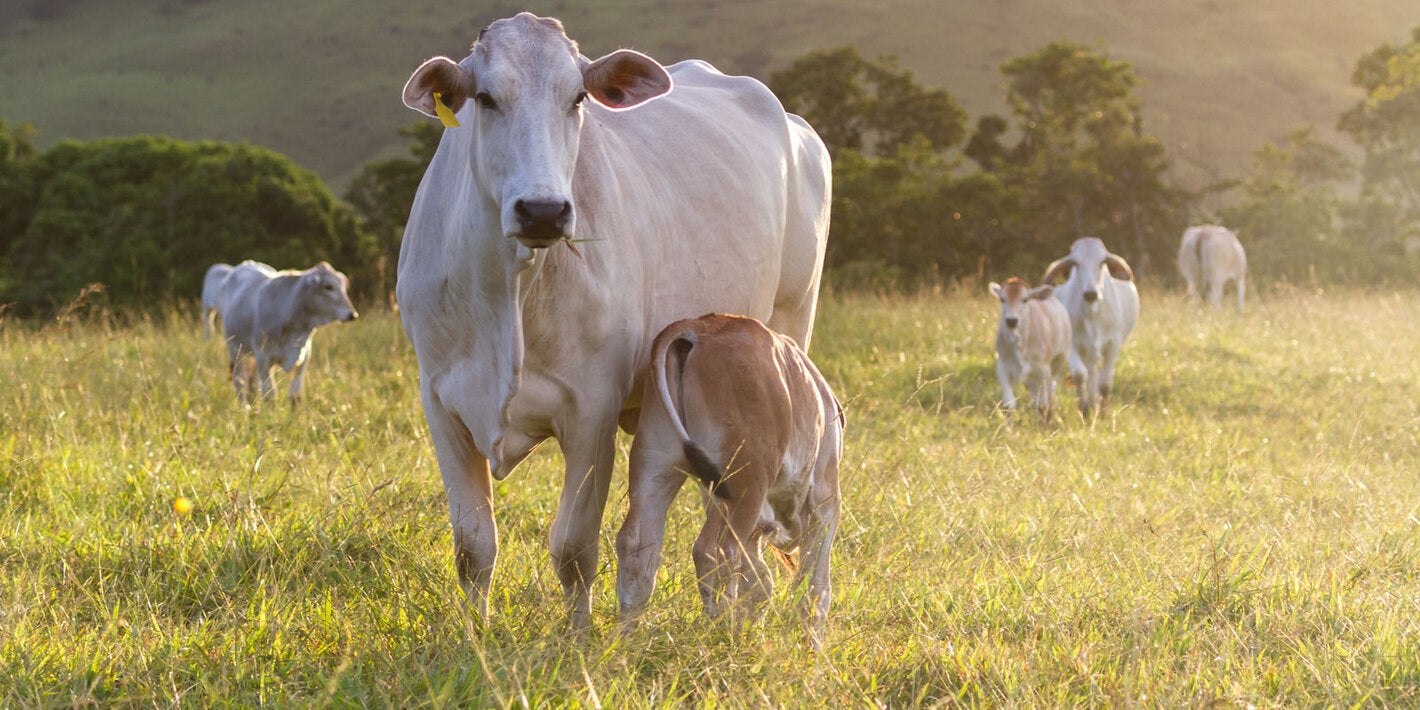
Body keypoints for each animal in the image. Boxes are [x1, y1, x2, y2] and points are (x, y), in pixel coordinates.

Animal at [217, 260, 358, 405]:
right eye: (328, 287)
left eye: (343, 286)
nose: (352, 314)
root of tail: (247, 263)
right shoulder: (263, 357)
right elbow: (270, 394)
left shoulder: (305, 355)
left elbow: (295, 395)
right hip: (235, 349)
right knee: (240, 381)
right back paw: (245, 407)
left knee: (253, 382)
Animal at [396, 13, 831, 629]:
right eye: (485, 97)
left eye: (577, 98)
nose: (544, 211)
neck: (508, 296)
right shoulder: (441, 404)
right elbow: (474, 547)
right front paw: (474, 635)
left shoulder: (590, 410)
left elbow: (574, 548)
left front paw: (577, 636)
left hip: (792, 328)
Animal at [615, 314, 842, 648]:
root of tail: (698, 328)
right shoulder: (826, 503)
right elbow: (814, 587)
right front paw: (812, 648)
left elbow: (760, 582)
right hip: (747, 480)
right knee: (714, 551)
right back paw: (722, 632)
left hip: (656, 466)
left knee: (637, 544)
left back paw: (628, 638)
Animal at [989, 278, 1072, 420]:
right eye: (1002, 299)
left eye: (1025, 299)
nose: (1011, 320)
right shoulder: (1002, 367)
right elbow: (1009, 404)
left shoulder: (1043, 369)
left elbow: (1043, 404)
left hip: (1059, 359)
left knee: (1052, 388)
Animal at [1041, 238, 1139, 418]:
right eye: (1075, 263)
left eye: (1102, 262)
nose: (1090, 293)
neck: (1092, 312)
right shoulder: (1073, 344)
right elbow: (1080, 375)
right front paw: (1085, 409)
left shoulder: (1113, 343)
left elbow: (1105, 381)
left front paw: (1104, 413)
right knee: (1090, 373)